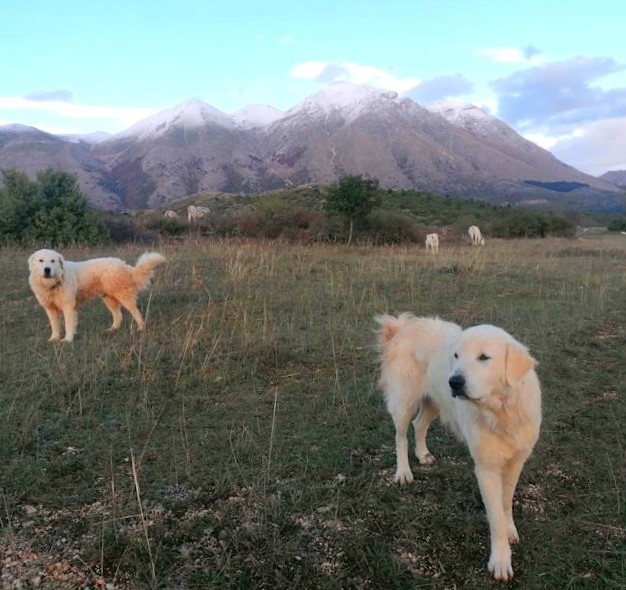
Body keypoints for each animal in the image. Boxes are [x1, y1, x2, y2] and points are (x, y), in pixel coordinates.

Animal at [28, 249, 166, 342]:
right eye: (41, 260)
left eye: (53, 261)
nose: (47, 269)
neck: (53, 283)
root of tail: (123, 264)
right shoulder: (50, 308)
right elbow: (54, 325)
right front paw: (54, 338)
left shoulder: (68, 307)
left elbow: (68, 325)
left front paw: (67, 340)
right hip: (109, 299)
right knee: (118, 316)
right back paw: (112, 329)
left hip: (123, 297)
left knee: (136, 313)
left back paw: (141, 328)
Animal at [376, 314, 540, 584]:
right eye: (456, 356)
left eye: (483, 357)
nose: (454, 381)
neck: (501, 410)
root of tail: (403, 326)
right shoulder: (486, 469)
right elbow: (495, 516)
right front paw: (500, 561)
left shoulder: (517, 460)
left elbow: (506, 502)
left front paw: (510, 529)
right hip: (405, 401)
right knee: (400, 436)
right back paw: (403, 472)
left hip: (434, 401)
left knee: (419, 425)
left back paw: (423, 454)